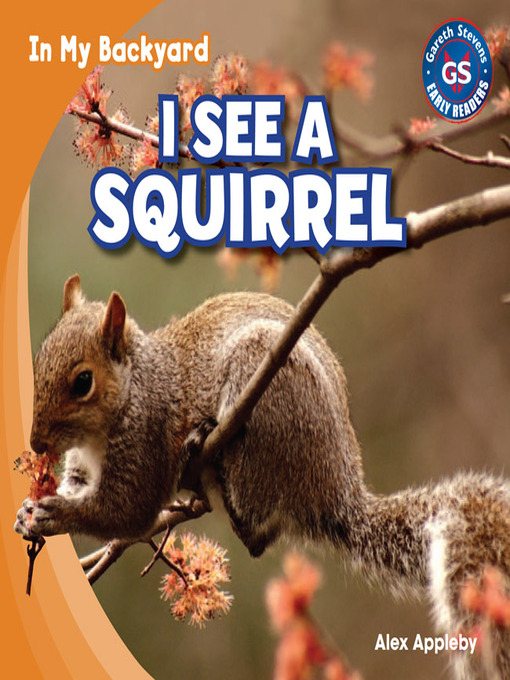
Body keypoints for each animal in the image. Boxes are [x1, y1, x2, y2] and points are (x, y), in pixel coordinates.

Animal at [14, 274, 510, 680]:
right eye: (38, 362)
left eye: (83, 382)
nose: (37, 444)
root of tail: (336, 491)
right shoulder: (83, 466)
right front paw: (27, 513)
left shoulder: (146, 439)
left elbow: (128, 511)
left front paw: (54, 516)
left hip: (267, 407)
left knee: (254, 531)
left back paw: (209, 455)